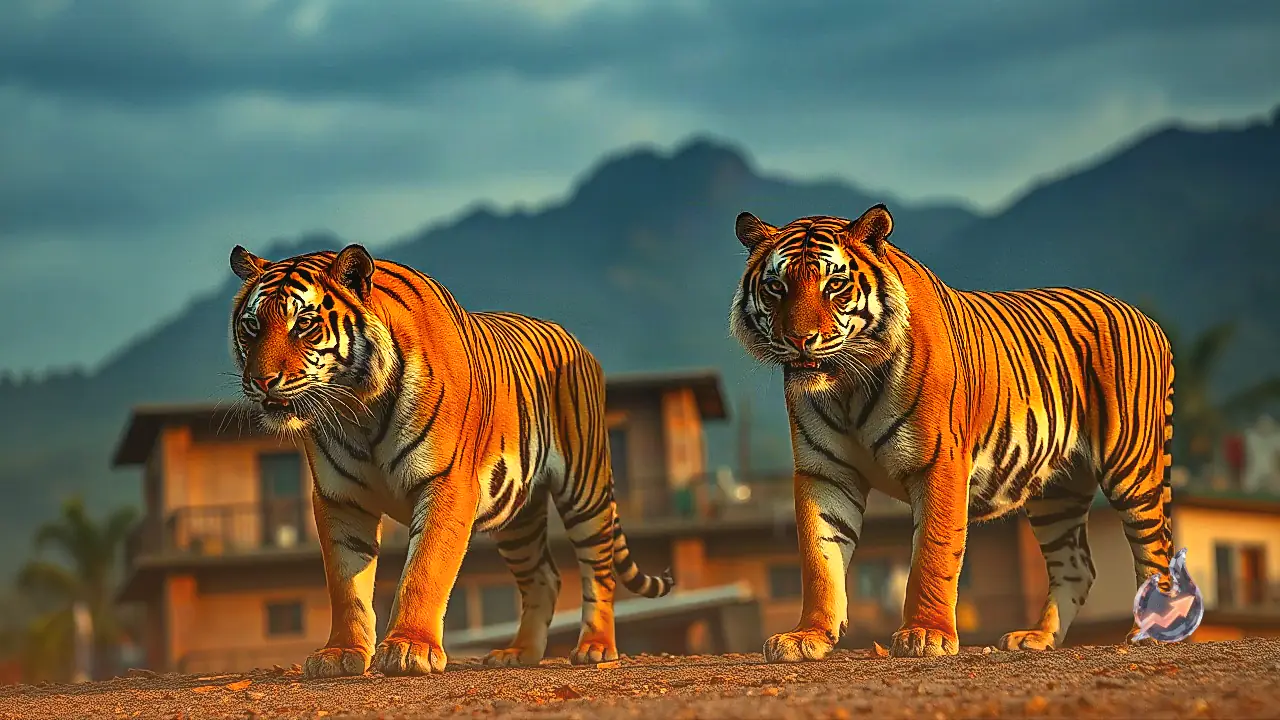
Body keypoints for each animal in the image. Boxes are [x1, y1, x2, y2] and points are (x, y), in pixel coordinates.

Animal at [228, 243, 674, 677]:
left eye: (304, 324)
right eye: (251, 327)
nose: (260, 381)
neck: (357, 408)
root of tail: (573, 339)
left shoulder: (447, 483)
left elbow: (424, 570)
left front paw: (410, 648)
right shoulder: (339, 499)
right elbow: (344, 584)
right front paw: (340, 653)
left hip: (585, 489)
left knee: (598, 572)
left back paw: (595, 647)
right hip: (519, 516)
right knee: (543, 577)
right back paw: (519, 653)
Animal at [728, 204, 1175, 659]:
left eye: (834, 284)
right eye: (776, 286)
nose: (799, 339)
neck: (847, 387)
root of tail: (1145, 317)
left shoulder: (939, 463)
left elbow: (933, 552)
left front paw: (926, 634)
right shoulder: (825, 473)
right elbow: (820, 558)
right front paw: (807, 636)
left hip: (1131, 469)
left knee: (1156, 553)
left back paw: (1150, 634)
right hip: (1059, 491)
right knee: (1077, 566)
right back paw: (1036, 638)